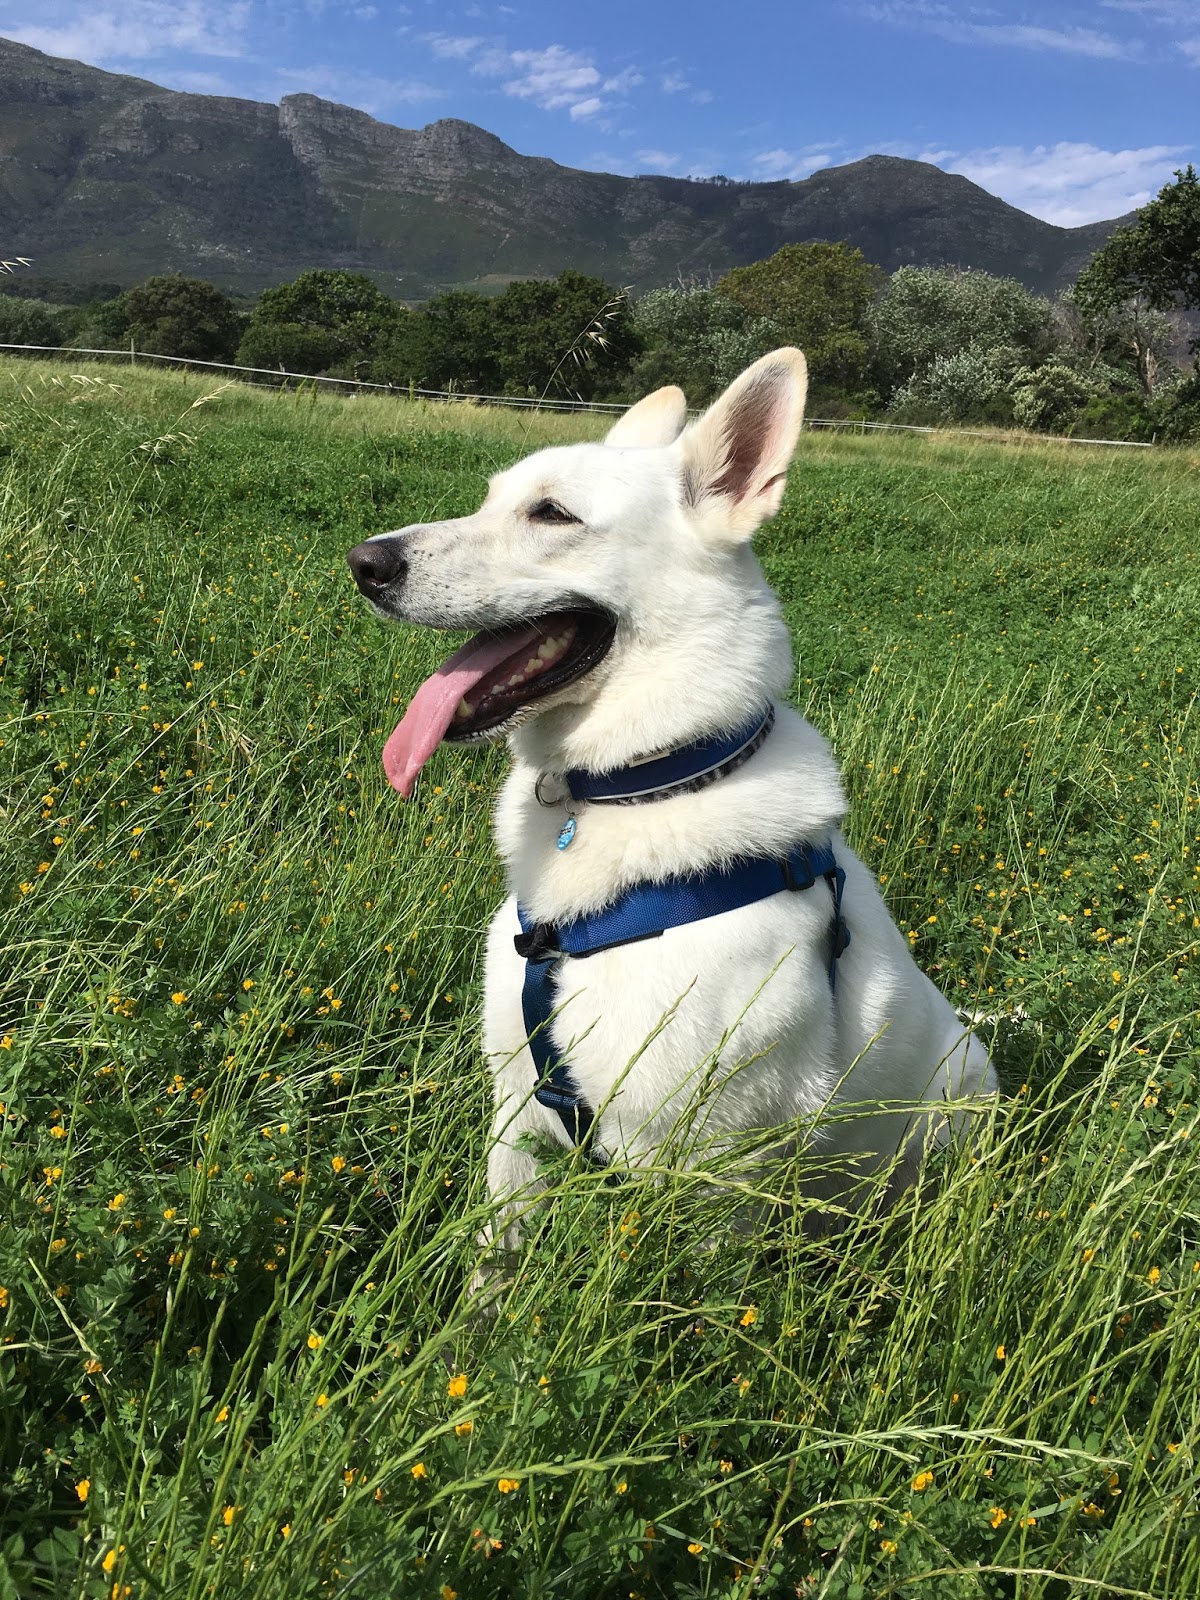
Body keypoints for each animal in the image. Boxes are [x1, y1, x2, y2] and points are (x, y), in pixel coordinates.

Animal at [348, 349, 997, 1261]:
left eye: (552, 514)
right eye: (491, 498)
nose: (363, 563)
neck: (638, 782)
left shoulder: (707, 1170)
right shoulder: (516, 1114)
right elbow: (495, 1264)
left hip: (950, 1103)